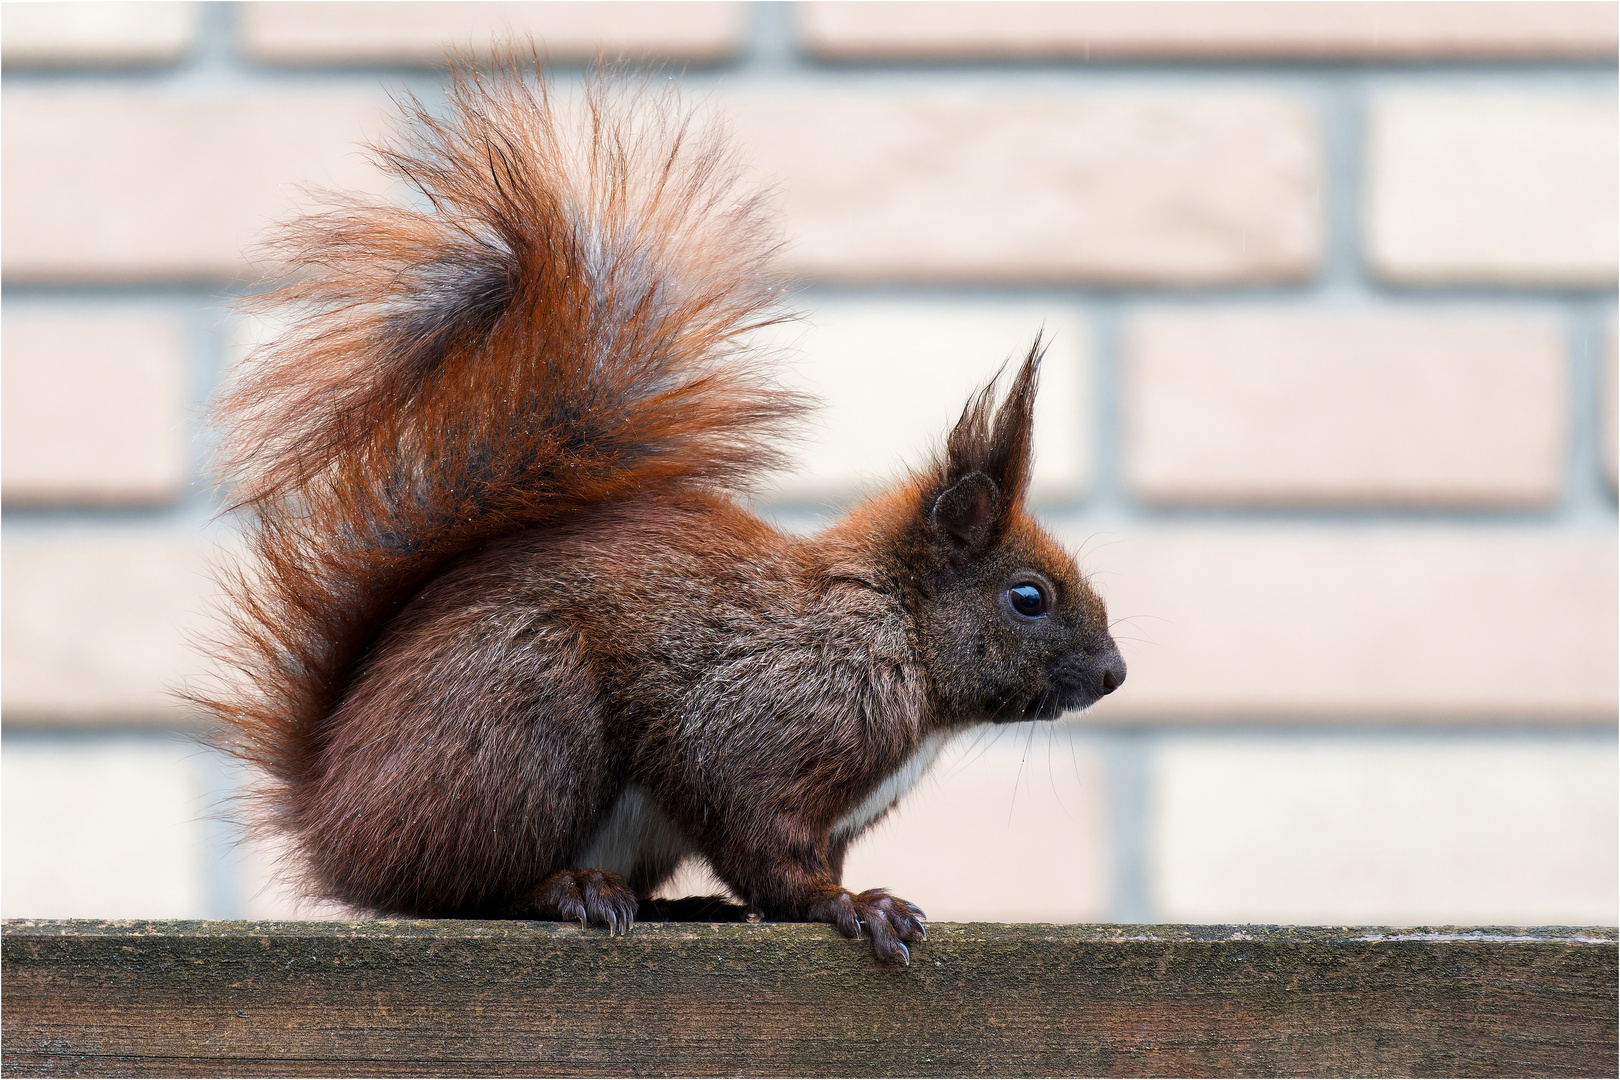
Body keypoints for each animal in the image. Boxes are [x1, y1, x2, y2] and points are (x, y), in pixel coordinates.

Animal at [205, 63, 1127, 965]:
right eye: (1029, 598)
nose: (1115, 674)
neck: (894, 628)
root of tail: (333, 818)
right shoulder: (765, 725)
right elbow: (763, 839)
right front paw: (854, 907)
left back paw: (680, 906)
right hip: (522, 729)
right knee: (457, 889)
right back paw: (570, 891)